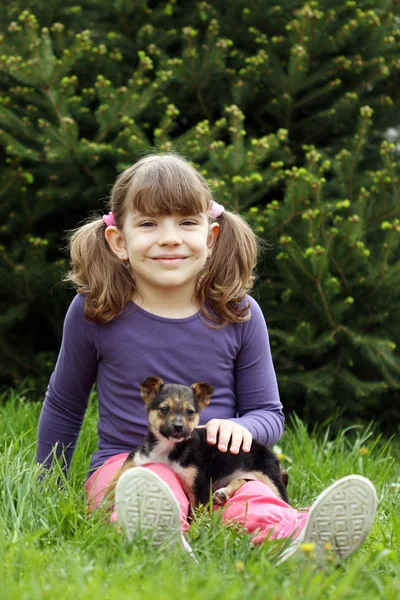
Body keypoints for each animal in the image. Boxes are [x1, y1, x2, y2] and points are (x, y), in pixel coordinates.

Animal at [108, 378, 290, 508]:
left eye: (190, 412)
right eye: (164, 409)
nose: (178, 427)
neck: (168, 449)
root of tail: (272, 454)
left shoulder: (198, 486)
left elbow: (197, 517)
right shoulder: (136, 460)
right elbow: (111, 486)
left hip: (272, 481)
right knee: (243, 480)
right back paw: (223, 494)